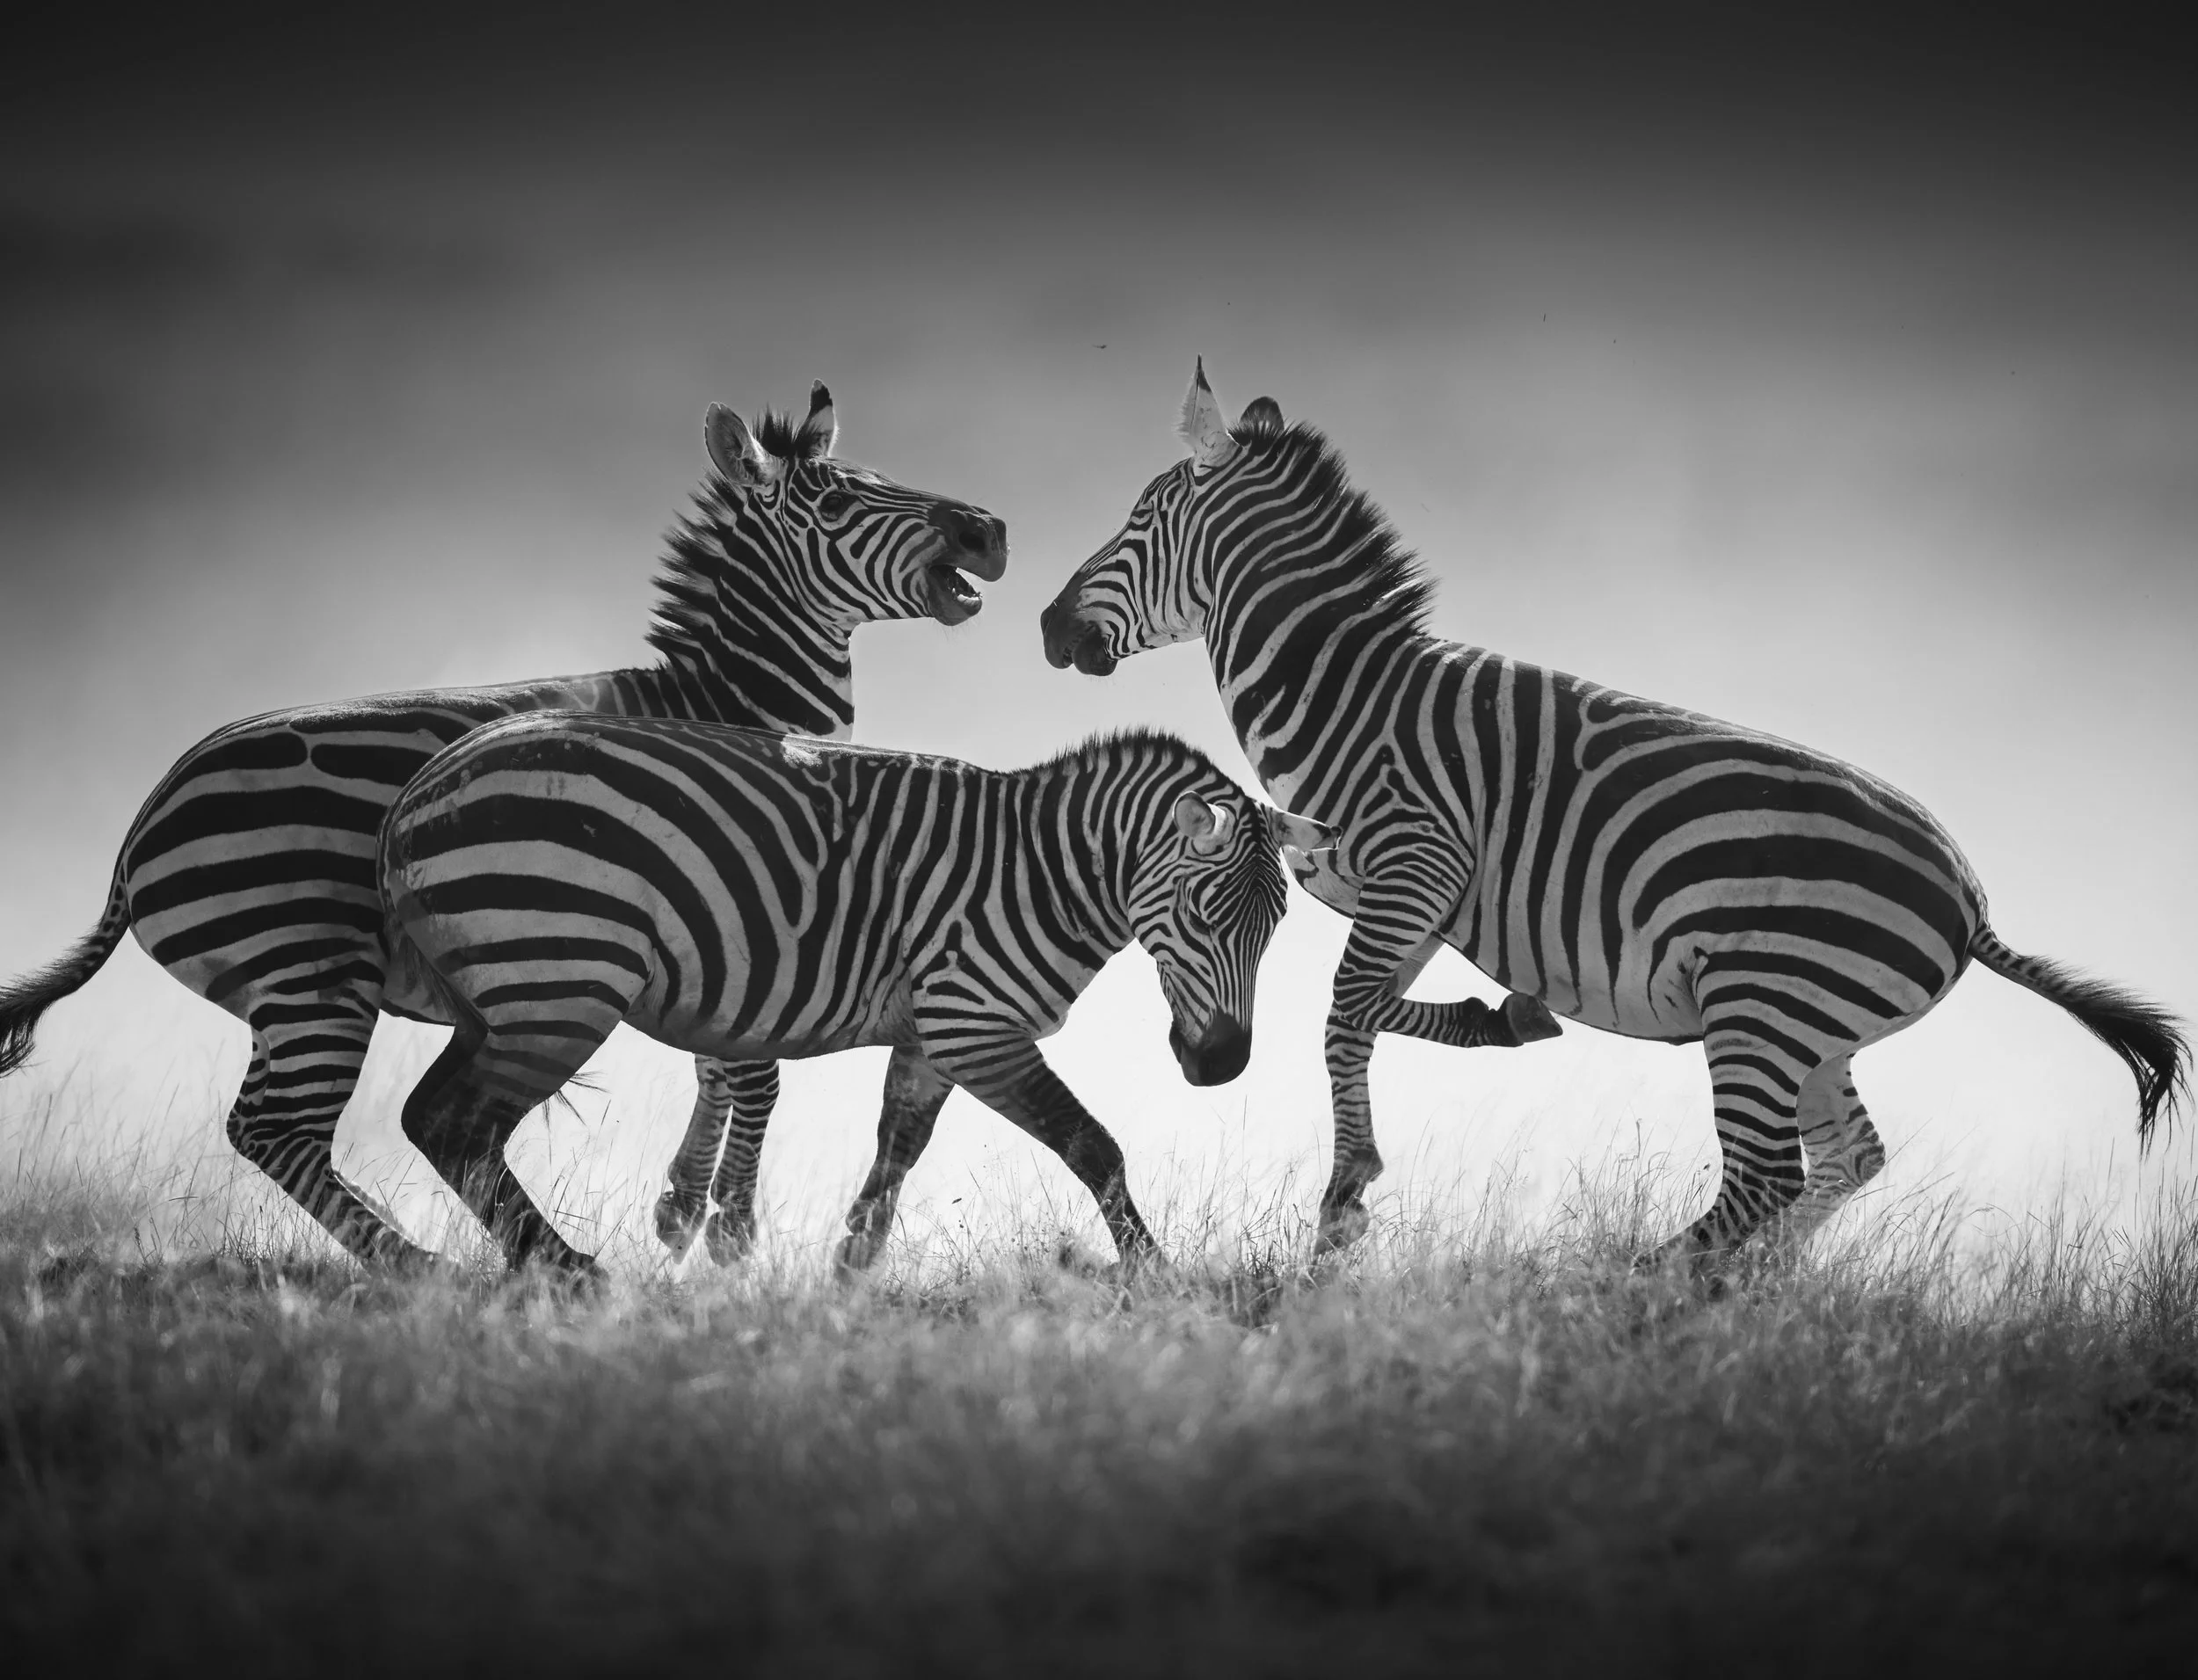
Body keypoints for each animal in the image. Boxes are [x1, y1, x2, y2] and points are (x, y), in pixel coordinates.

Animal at [0, 384, 1008, 1266]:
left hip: (288, 985)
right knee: (278, 1128)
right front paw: (727, 1228)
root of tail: (141, 826)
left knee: (274, 1129)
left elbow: (720, 1063)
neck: (723, 704)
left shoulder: (723, 923)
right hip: (313, 967)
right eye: (837, 501)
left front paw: (683, 1207)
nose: (990, 531)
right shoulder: (723, 905)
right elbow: (750, 1069)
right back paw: (426, 1267)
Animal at [376, 716, 1319, 1276]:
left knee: (432, 1116)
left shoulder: (933, 1034)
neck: (1042, 871)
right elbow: (1093, 1144)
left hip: (504, 995)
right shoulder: (975, 1019)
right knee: (455, 1123)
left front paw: (849, 1271)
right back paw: (568, 1270)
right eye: (1201, 913)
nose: (1221, 1063)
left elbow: (899, 1145)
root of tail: (422, 784)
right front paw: (1153, 1272)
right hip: (558, 980)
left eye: (1275, 923)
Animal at [1039, 361, 2189, 1262]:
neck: (1348, 696)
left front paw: (1342, 1206)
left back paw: (1633, 1285)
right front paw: (1504, 1018)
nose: (1050, 628)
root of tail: (1970, 899)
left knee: (1765, 1177)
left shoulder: (1416, 859)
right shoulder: (1414, 893)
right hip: (1815, 1032)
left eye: (1136, 520)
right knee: (1847, 1160)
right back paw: (1743, 1302)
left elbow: (1342, 1013)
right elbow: (1367, 1004)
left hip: (1762, 1004)